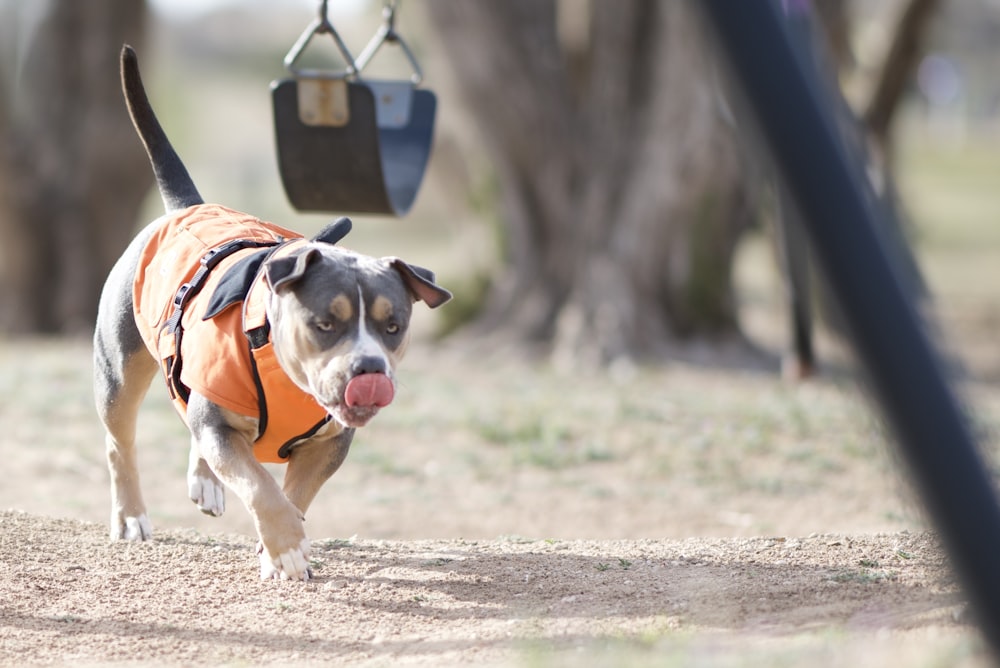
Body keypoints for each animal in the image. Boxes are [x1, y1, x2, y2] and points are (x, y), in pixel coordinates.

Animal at [95, 45, 452, 580]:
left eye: (394, 327)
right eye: (324, 324)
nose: (369, 370)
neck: (282, 369)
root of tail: (186, 207)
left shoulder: (328, 444)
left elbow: (294, 494)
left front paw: (280, 548)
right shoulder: (223, 426)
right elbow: (260, 486)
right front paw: (285, 548)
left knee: (189, 415)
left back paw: (204, 480)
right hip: (119, 369)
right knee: (121, 441)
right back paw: (131, 516)